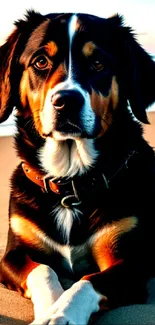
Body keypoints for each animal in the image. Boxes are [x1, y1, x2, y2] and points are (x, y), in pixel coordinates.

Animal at [0, 10, 155, 324]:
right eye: (40, 61)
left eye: (98, 63)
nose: (66, 101)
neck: (69, 184)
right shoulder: (14, 254)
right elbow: (43, 271)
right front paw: (50, 309)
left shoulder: (129, 259)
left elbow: (88, 282)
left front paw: (62, 314)